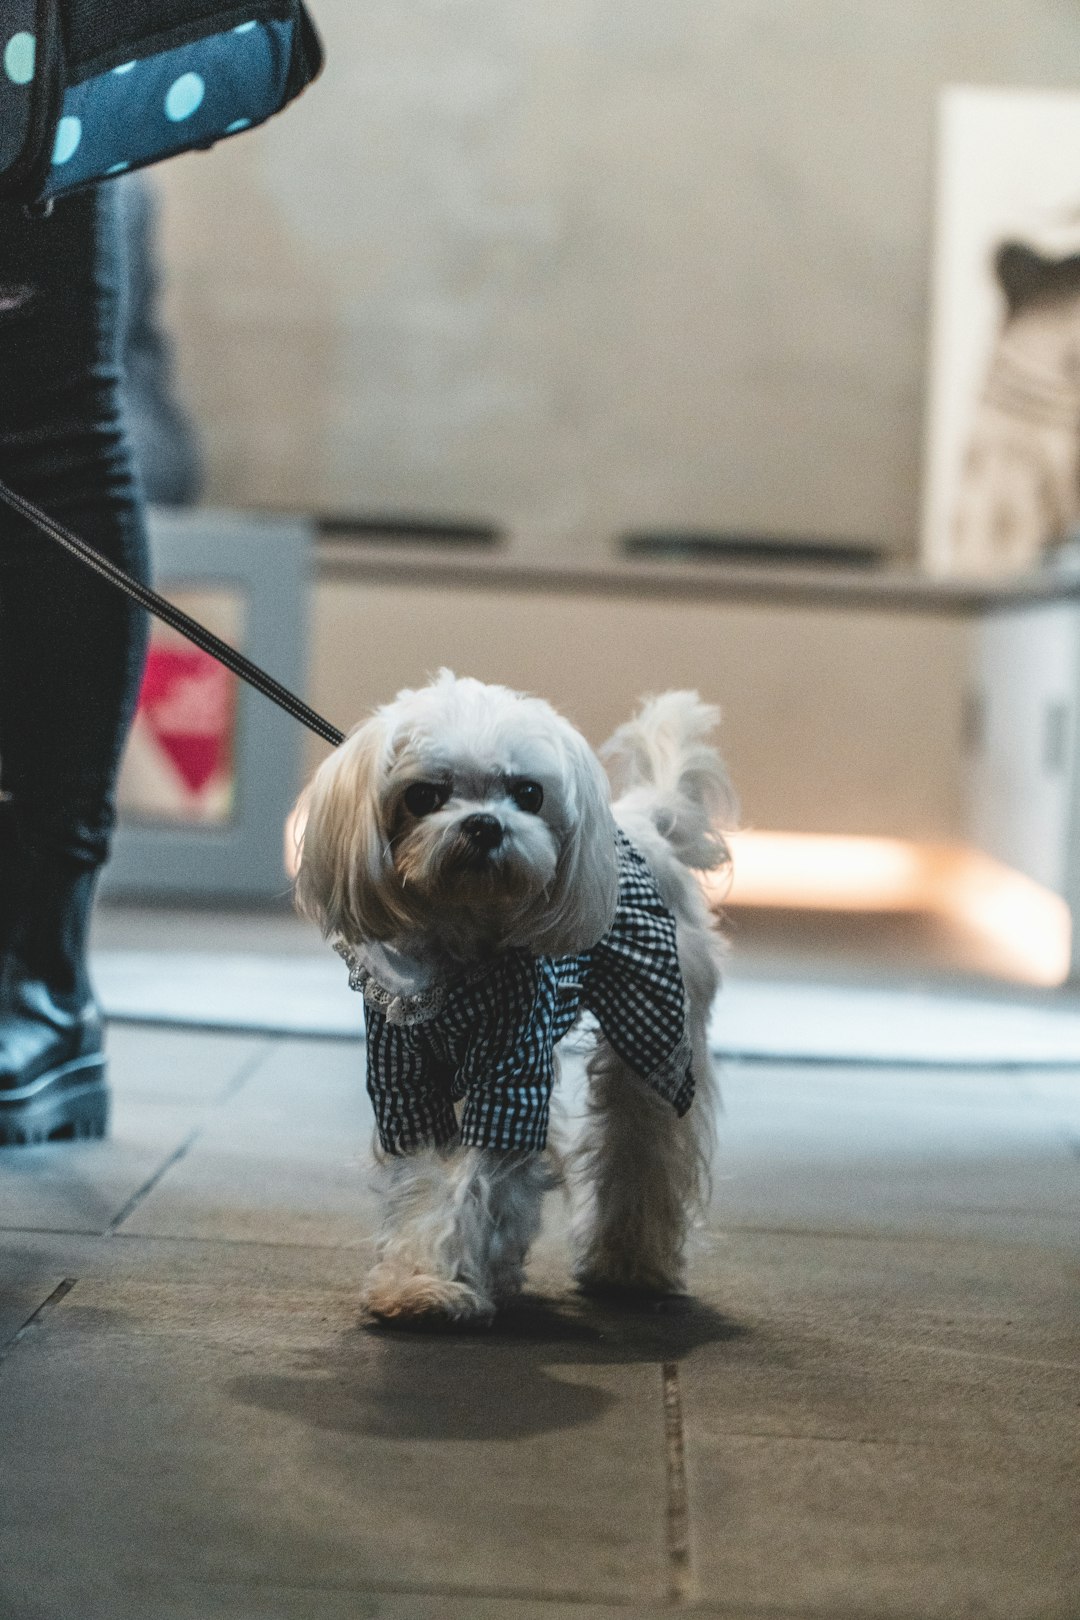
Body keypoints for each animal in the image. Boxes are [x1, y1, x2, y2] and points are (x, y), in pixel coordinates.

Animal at [296, 673, 735, 1328]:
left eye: (528, 793)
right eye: (423, 796)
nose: (484, 825)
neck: (461, 951)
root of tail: (642, 820)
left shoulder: (510, 1073)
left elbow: (475, 1176)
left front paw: (443, 1277)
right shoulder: (404, 1077)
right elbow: (433, 1174)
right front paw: (420, 1281)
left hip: (654, 1028)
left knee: (644, 1139)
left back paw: (630, 1265)